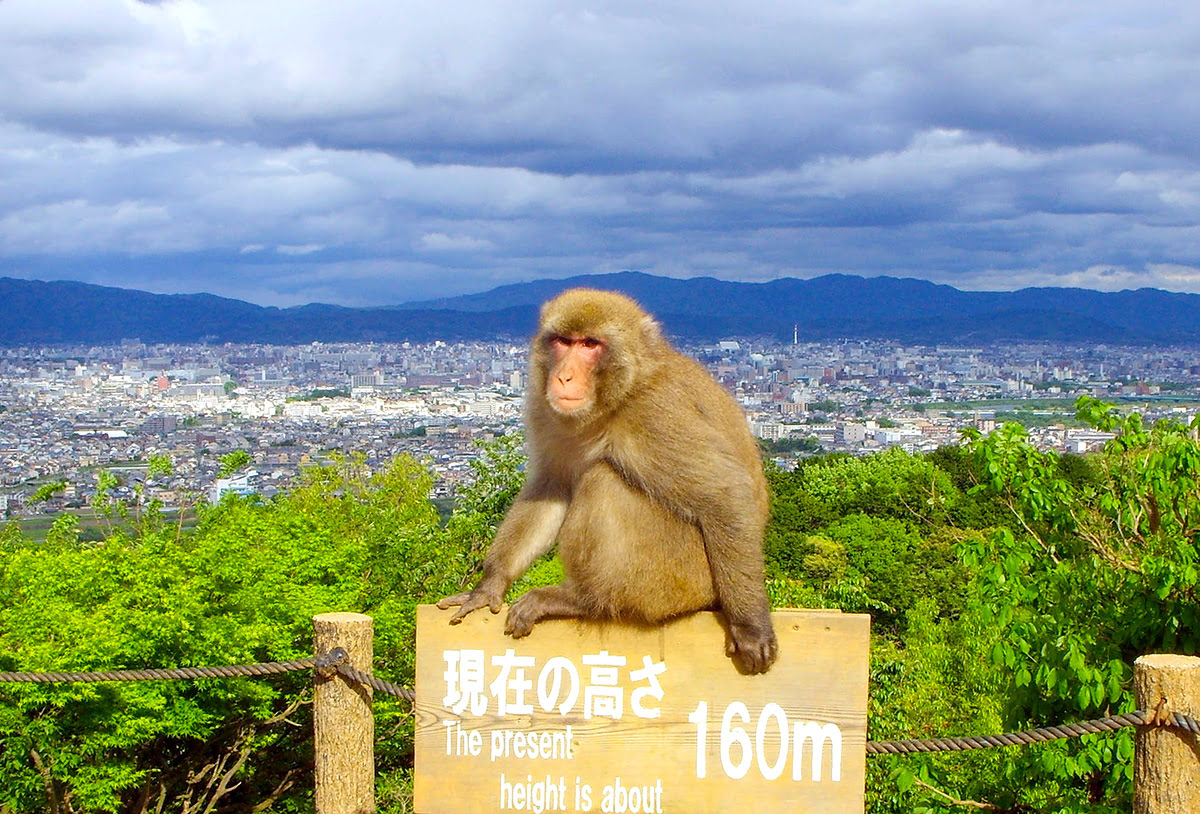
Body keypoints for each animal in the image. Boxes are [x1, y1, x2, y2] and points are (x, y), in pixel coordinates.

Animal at [441, 290, 777, 672]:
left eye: (590, 344)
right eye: (563, 341)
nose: (564, 377)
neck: (618, 398)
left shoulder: (657, 415)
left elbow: (725, 497)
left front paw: (750, 626)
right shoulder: (547, 411)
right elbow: (551, 489)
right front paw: (489, 584)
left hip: (680, 578)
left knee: (603, 479)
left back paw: (583, 599)